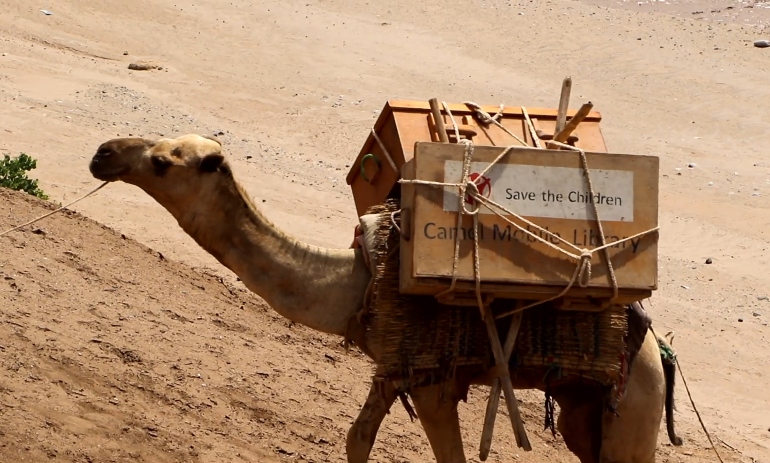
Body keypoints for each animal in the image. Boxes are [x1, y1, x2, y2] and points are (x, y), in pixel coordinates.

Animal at [87, 133, 680, 463]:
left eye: (162, 162)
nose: (102, 153)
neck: (362, 278)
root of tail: (659, 350)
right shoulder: (392, 365)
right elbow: (356, 440)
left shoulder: (434, 377)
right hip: (586, 410)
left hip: (634, 406)